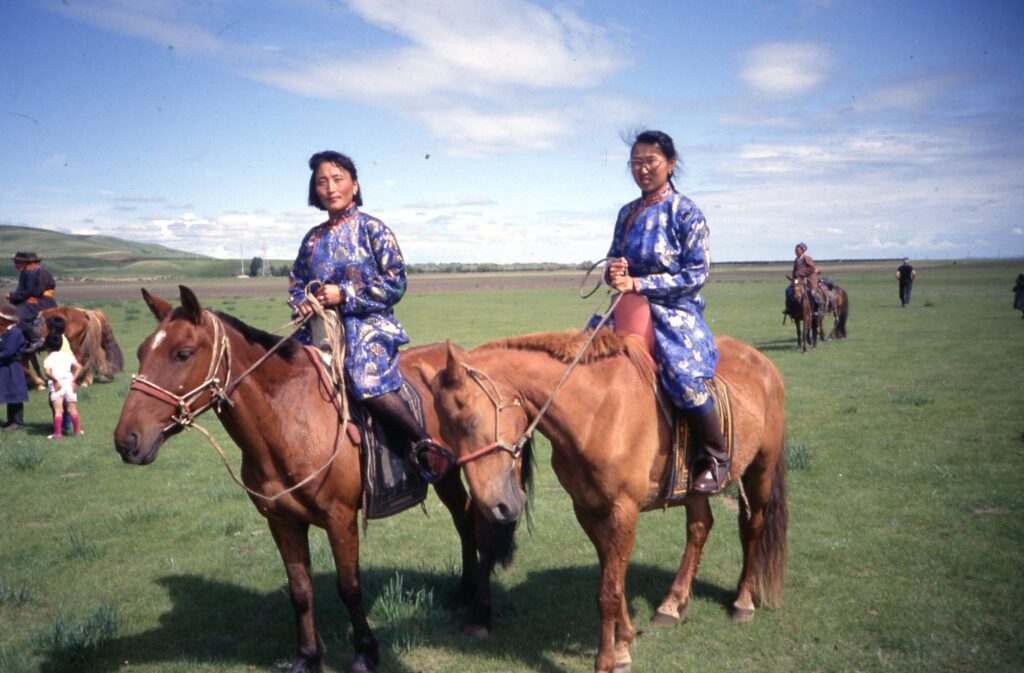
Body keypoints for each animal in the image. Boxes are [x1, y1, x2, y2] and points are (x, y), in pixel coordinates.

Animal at [113, 284, 520, 671]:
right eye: (141, 352)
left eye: (182, 354)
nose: (126, 440)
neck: (289, 419)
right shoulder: (282, 522)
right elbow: (300, 590)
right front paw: (308, 656)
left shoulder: (340, 520)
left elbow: (349, 587)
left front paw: (365, 654)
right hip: (444, 475)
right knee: (464, 520)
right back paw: (464, 594)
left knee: (479, 521)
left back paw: (480, 611)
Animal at [428, 329, 786, 671]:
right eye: (443, 432)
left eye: (470, 421)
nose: (496, 506)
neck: (596, 411)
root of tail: (764, 363)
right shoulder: (588, 509)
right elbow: (613, 579)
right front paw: (623, 642)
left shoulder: (623, 510)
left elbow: (608, 592)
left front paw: (608, 660)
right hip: (693, 488)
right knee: (699, 527)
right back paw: (672, 604)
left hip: (761, 468)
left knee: (752, 527)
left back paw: (742, 601)